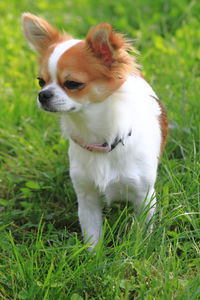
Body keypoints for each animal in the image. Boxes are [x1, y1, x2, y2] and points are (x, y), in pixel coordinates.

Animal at [22, 12, 168, 250]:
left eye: (72, 83)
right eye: (40, 81)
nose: (43, 95)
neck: (100, 138)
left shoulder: (144, 196)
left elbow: (141, 232)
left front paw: (138, 249)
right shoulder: (87, 197)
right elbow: (92, 235)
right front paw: (93, 256)